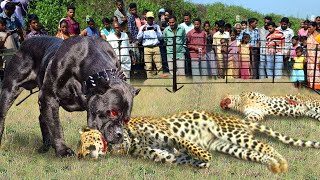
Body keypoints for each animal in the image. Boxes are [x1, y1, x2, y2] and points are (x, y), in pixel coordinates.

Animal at [0, 35, 140, 157]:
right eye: (113, 113)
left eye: (126, 119)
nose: (120, 134)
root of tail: (24, 42)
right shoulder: (49, 96)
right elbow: (56, 126)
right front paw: (63, 150)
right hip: (10, 89)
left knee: (43, 118)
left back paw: (46, 146)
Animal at [111, 110, 318, 174]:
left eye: (116, 136)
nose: (117, 149)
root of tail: (238, 120)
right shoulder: (165, 156)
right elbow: (183, 158)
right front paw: (201, 163)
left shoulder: (168, 134)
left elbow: (187, 144)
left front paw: (203, 157)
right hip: (229, 146)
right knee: (256, 153)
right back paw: (273, 165)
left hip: (229, 132)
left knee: (266, 145)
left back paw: (282, 163)